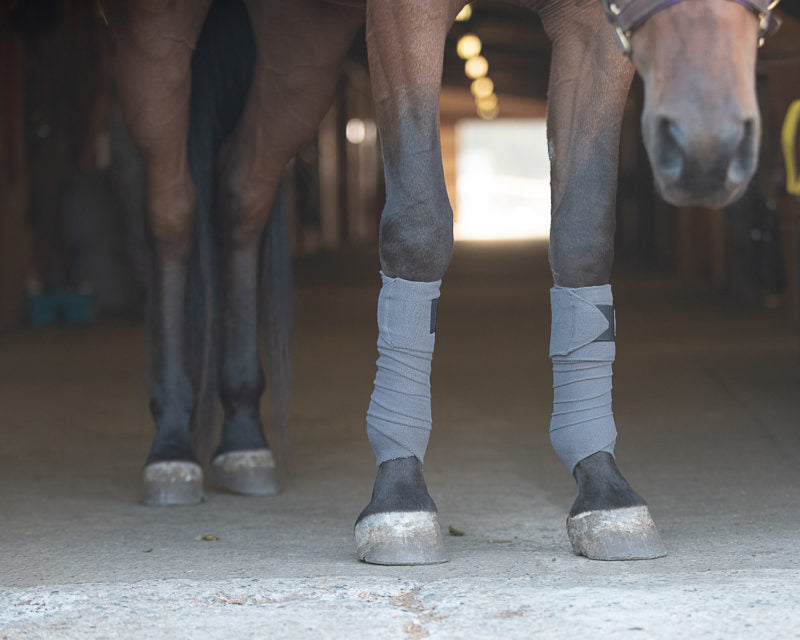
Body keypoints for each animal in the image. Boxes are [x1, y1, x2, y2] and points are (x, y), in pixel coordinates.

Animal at [103, 0, 780, 564]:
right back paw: (171, 446)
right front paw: (400, 497)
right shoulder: (406, 13)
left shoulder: (592, 28)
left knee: (242, 191)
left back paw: (244, 434)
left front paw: (605, 491)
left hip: (302, 47)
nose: (708, 146)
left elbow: (583, 237)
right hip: (160, 31)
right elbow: (419, 228)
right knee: (172, 209)